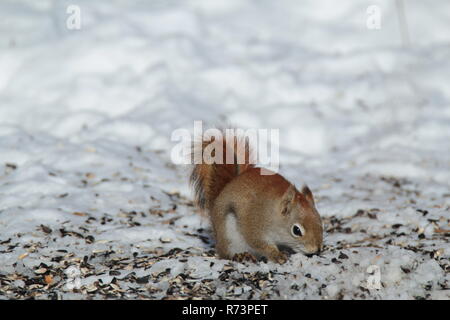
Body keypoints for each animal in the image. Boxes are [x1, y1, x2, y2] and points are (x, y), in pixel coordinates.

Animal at [190, 131, 324, 264]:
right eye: (296, 230)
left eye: (320, 222)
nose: (316, 249)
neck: (271, 214)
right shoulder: (253, 224)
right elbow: (258, 242)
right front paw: (276, 255)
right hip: (228, 237)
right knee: (226, 254)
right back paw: (241, 256)